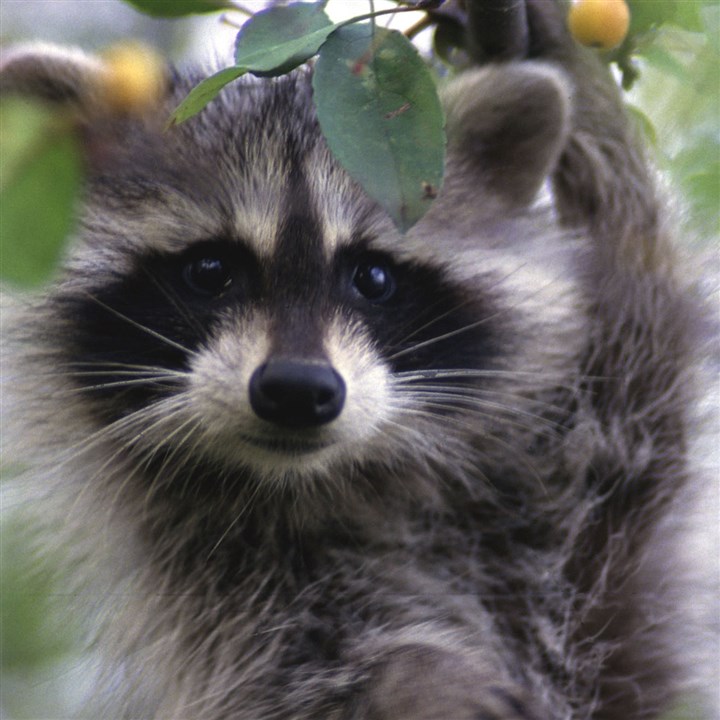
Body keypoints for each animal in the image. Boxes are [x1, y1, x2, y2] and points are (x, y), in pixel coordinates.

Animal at [0, 1, 715, 718]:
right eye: (210, 270)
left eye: (372, 277)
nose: (296, 388)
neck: (328, 482)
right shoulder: (211, 583)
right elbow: (294, 667)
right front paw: (407, 671)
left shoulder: (593, 537)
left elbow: (644, 348)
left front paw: (585, 86)